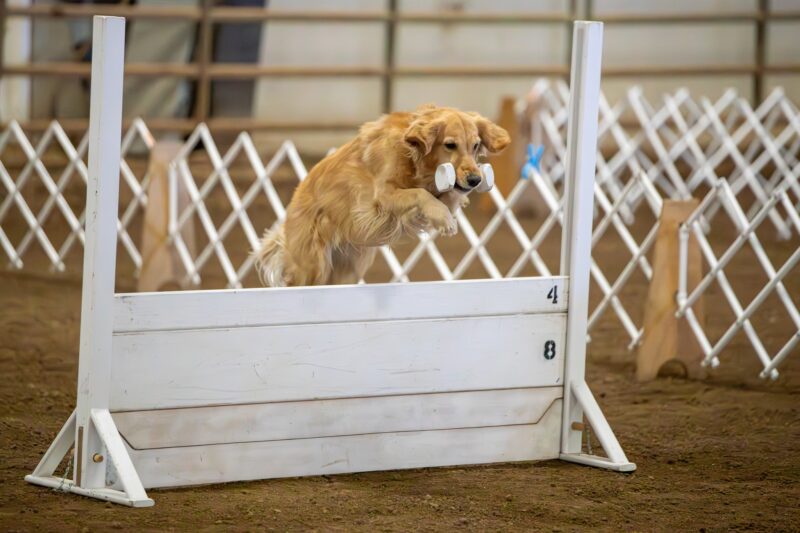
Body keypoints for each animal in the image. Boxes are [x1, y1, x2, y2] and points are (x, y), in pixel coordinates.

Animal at [253, 104, 510, 286]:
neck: (411, 155)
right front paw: (444, 218)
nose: (475, 180)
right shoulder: (382, 198)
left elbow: (443, 196)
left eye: (475, 145)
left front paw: (444, 211)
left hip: (348, 268)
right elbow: (419, 194)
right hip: (312, 265)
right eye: (450, 145)